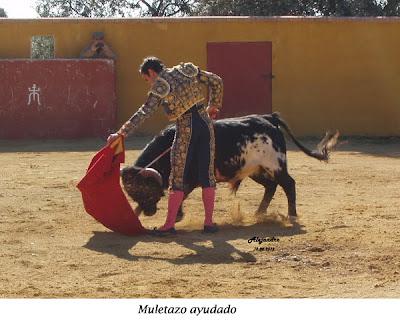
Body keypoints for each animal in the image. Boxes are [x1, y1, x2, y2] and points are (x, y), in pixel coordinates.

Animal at [121, 113, 338, 222]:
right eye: (133, 193)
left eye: (147, 190)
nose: (148, 212)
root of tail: (269, 118)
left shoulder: (191, 178)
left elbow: (180, 194)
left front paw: (177, 217)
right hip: (255, 170)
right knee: (271, 186)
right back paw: (259, 213)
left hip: (275, 165)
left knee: (288, 184)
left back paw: (291, 215)